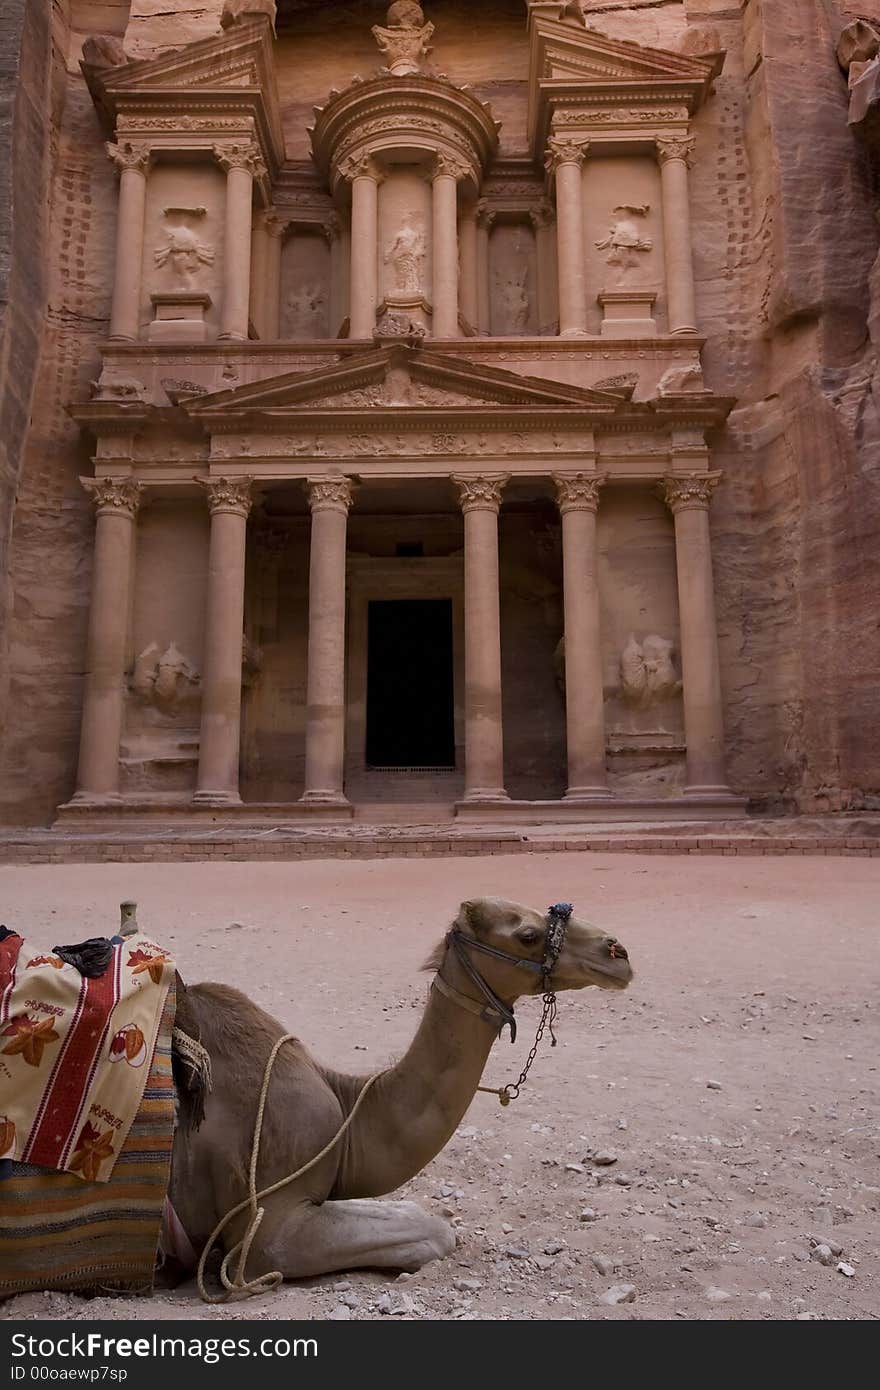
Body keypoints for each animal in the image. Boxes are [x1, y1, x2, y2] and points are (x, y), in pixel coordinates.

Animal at [166, 900, 631, 1278]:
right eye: (528, 935)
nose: (617, 952)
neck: (348, 1110)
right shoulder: (264, 1230)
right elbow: (434, 1233)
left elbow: (413, 1213)